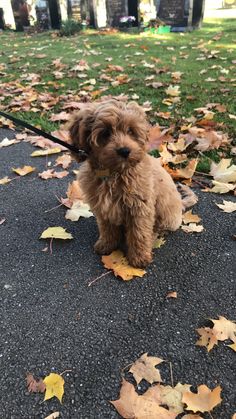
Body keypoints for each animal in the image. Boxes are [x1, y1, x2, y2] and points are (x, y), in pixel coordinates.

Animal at [68, 100, 183, 268]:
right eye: (105, 133)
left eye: (130, 131)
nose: (124, 151)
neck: (114, 174)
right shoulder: (103, 207)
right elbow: (107, 228)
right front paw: (107, 244)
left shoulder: (140, 207)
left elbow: (139, 233)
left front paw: (139, 257)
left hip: (168, 215)